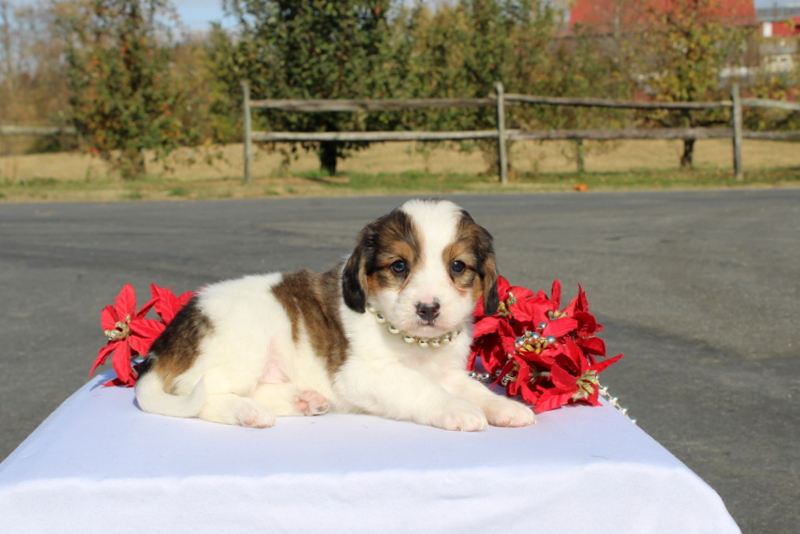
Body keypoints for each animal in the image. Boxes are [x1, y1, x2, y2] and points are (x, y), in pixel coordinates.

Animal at [134, 199, 536, 434]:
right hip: (243, 343)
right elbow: (422, 387)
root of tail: (159, 353)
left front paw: (504, 407)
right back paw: (246, 411)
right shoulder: (363, 374)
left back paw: (302, 400)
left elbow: (474, 389)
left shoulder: (449, 373)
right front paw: (458, 409)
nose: (427, 308)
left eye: (457, 266)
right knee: (198, 393)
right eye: (399, 266)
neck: (415, 342)